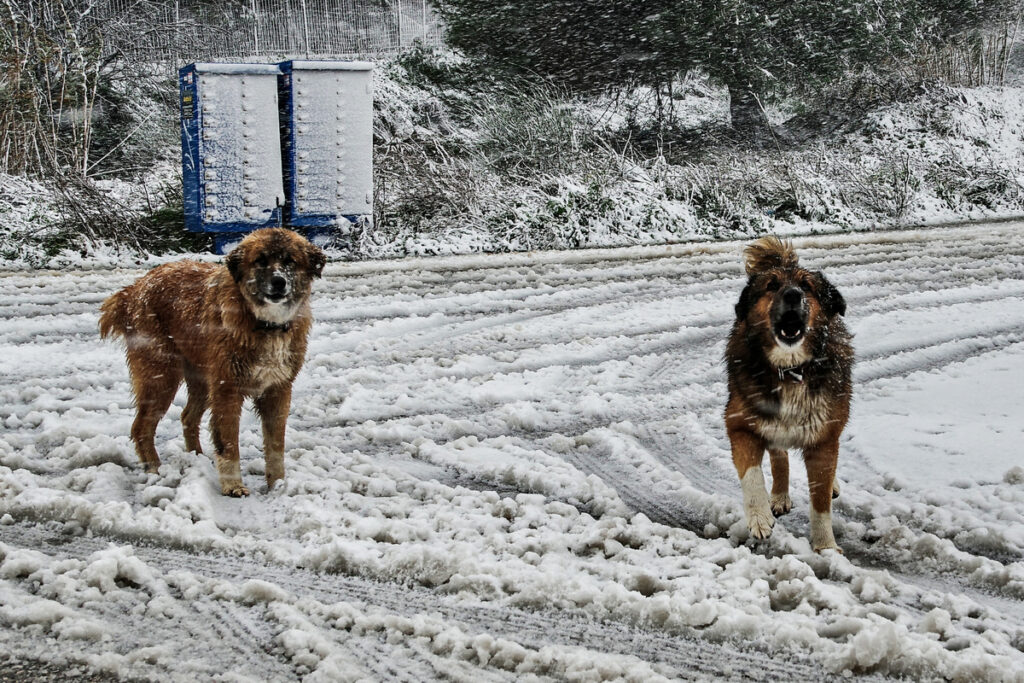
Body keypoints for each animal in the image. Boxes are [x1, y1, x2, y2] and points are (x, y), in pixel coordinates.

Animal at [98, 229, 323, 497]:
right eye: (260, 260)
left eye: (290, 261)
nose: (279, 282)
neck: (264, 324)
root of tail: (133, 289)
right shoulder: (228, 390)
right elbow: (228, 442)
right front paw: (233, 485)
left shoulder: (278, 390)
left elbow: (275, 445)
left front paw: (278, 484)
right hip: (161, 377)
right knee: (141, 426)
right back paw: (154, 469)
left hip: (202, 380)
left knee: (187, 417)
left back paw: (196, 458)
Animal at [724, 237, 851, 552]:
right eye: (771, 285)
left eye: (807, 286)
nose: (793, 294)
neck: (791, 369)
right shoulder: (740, 424)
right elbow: (751, 474)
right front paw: (758, 516)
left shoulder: (823, 438)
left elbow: (820, 502)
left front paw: (826, 547)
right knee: (779, 456)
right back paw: (779, 496)